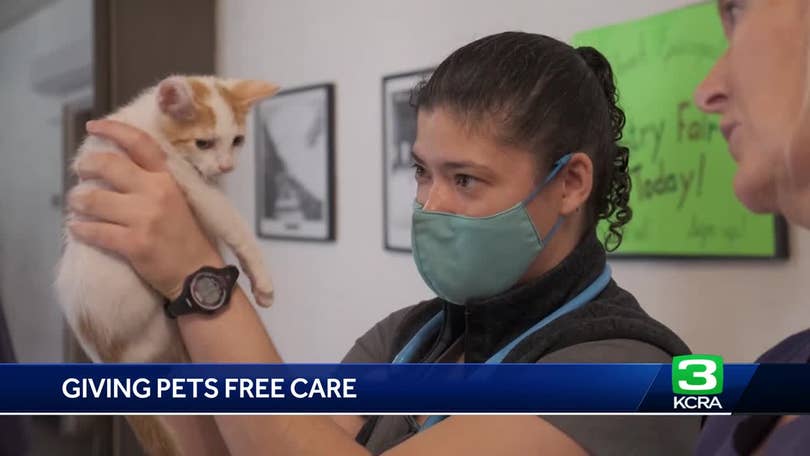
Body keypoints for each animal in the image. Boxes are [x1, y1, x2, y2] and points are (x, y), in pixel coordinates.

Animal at [55, 75, 278, 456]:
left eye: (237, 141)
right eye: (203, 142)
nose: (226, 167)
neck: (150, 124)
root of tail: (104, 359)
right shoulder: (176, 172)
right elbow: (228, 218)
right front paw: (262, 279)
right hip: (152, 327)